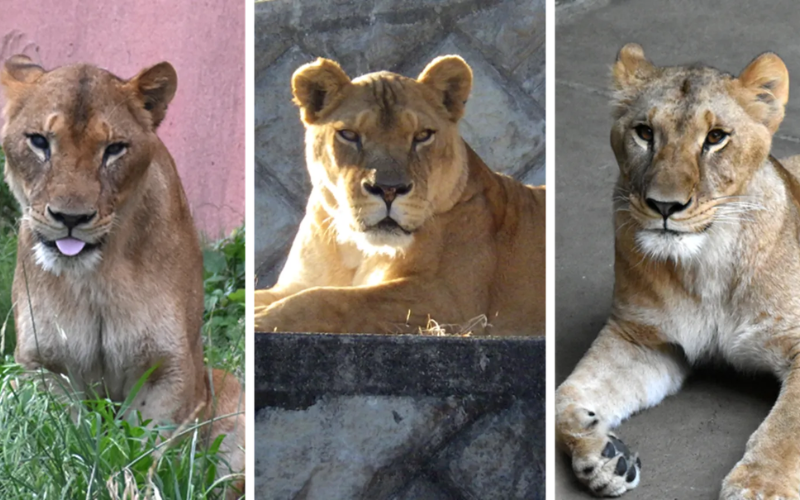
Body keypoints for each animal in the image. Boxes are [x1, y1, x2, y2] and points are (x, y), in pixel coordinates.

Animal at [0, 55, 244, 495]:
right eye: (39, 142)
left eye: (114, 149)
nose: (71, 218)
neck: (95, 278)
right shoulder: (43, 365)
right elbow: (66, 441)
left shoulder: (168, 368)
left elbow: (145, 451)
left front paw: (134, 487)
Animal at [254, 55, 545, 336]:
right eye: (349, 134)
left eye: (422, 135)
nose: (388, 189)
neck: (357, 250)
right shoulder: (293, 284)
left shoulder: (452, 300)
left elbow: (338, 299)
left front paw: (260, 320)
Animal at [556, 43, 800, 499]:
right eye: (645, 132)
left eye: (716, 137)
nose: (664, 205)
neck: (709, 265)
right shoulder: (642, 338)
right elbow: (563, 397)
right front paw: (604, 456)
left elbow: (785, 427)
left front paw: (759, 486)